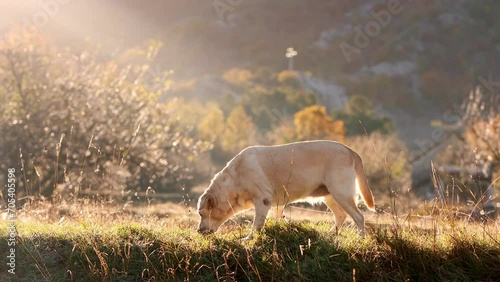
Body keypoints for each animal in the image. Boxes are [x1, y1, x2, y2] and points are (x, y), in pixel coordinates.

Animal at [197, 140, 374, 239]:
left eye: (201, 214)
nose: (199, 231)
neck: (236, 177)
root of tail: (350, 150)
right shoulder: (277, 202)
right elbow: (278, 217)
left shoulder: (263, 199)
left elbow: (257, 224)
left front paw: (248, 239)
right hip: (330, 196)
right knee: (341, 215)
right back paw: (331, 234)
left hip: (340, 193)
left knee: (359, 217)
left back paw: (361, 238)